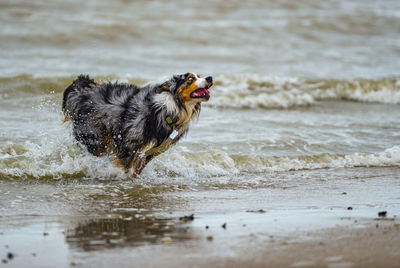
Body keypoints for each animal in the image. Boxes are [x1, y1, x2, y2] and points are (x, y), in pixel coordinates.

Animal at [62, 73, 212, 176]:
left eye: (199, 76)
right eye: (190, 79)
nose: (210, 78)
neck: (171, 108)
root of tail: (81, 93)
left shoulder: (148, 154)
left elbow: (135, 171)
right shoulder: (129, 145)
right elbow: (125, 168)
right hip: (96, 139)